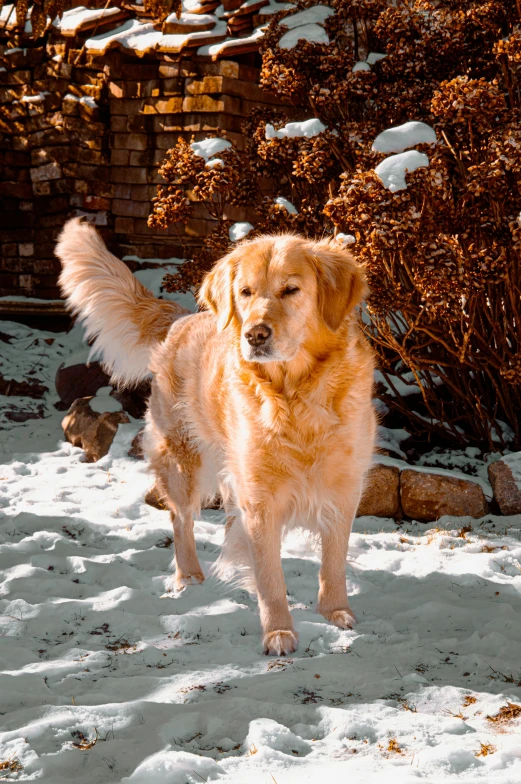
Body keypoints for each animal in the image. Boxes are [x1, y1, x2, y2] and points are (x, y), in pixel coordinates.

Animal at [55, 219, 374, 656]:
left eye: (291, 290)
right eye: (246, 292)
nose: (256, 335)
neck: (297, 395)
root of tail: (184, 319)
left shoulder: (344, 487)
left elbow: (333, 562)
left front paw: (335, 612)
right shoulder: (261, 497)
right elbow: (270, 576)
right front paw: (278, 632)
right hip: (184, 461)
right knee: (180, 519)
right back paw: (189, 576)